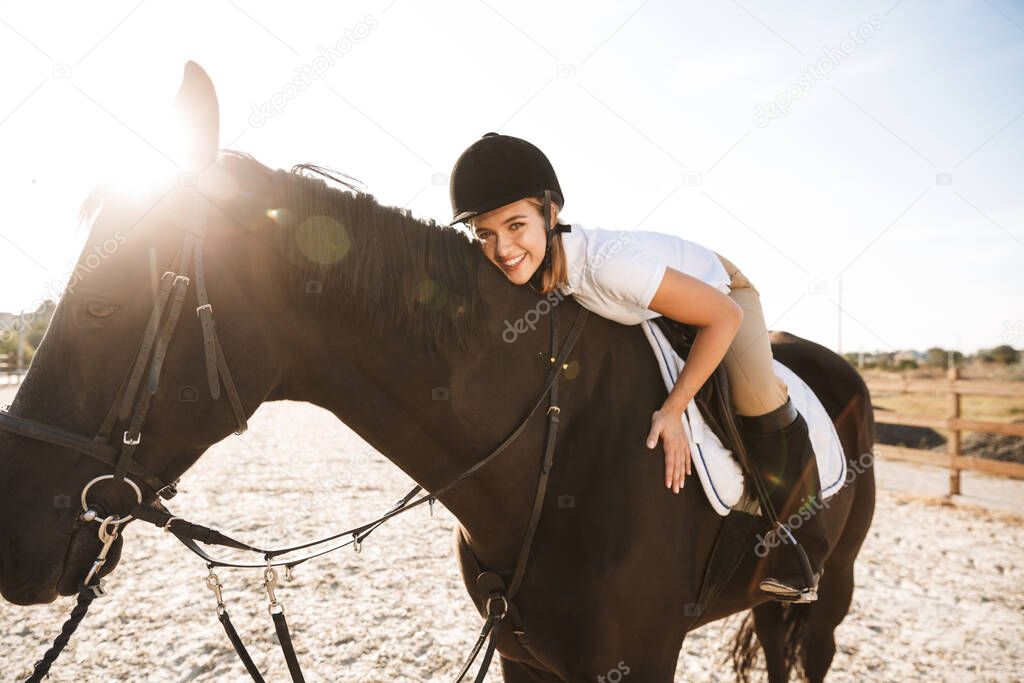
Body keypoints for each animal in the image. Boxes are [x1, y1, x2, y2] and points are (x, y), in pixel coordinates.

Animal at [0, 61, 876, 679]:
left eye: (100, 308)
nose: (12, 543)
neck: (557, 447)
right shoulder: (526, 657)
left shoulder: (637, 662)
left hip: (829, 589)